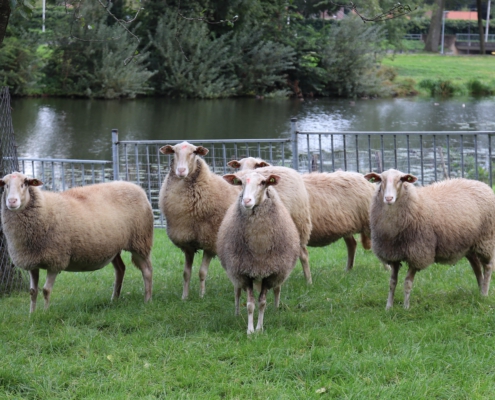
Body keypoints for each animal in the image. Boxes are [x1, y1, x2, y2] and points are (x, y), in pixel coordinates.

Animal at [0, 171, 154, 312]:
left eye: (25, 183)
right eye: (5, 185)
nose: (12, 201)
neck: (44, 209)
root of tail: (137, 187)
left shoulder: (55, 261)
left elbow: (46, 290)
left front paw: (45, 313)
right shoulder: (32, 262)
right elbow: (33, 292)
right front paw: (32, 315)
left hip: (140, 241)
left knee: (147, 271)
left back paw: (147, 300)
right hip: (114, 247)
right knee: (120, 269)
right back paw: (114, 299)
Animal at [158, 142, 241, 298]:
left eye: (194, 152)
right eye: (174, 152)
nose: (181, 170)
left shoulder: (210, 242)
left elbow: (202, 272)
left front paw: (202, 295)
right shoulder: (187, 244)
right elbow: (186, 274)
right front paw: (184, 296)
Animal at [216, 170, 298, 332]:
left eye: (263, 182)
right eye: (241, 183)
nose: (246, 201)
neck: (258, 246)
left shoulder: (270, 274)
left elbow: (262, 303)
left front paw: (259, 329)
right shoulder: (244, 272)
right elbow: (250, 304)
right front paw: (250, 330)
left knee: (277, 290)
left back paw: (276, 309)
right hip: (235, 272)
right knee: (237, 292)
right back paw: (236, 313)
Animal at [364, 169, 495, 310]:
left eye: (401, 180)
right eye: (381, 180)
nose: (388, 198)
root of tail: (482, 184)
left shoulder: (418, 254)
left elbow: (407, 283)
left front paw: (406, 307)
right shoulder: (392, 255)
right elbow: (392, 282)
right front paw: (388, 307)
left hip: (486, 240)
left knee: (487, 266)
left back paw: (484, 293)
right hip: (469, 244)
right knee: (476, 266)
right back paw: (480, 290)